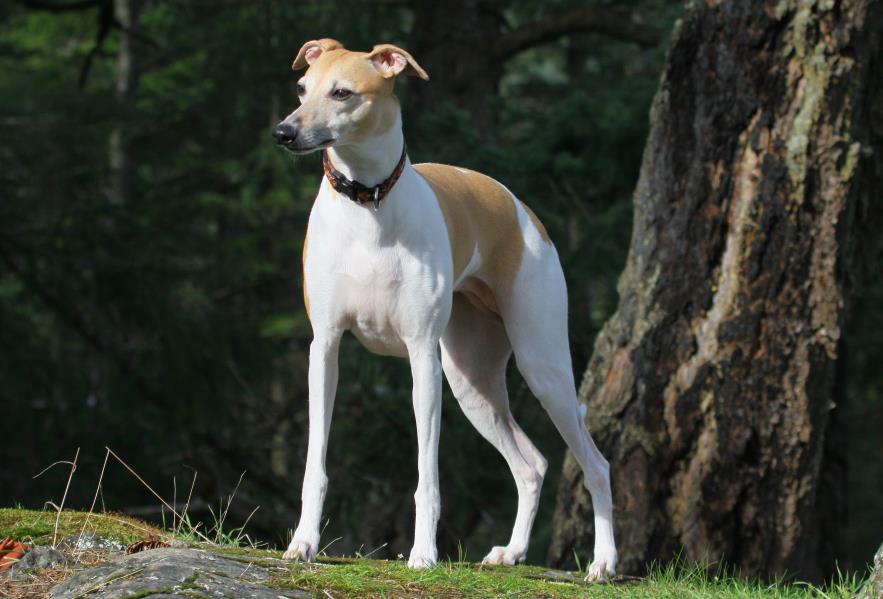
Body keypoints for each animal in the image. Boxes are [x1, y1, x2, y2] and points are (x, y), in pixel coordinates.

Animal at [272, 38, 618, 580]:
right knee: (532, 465)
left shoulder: (422, 359)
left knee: (595, 464)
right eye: (303, 89)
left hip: (542, 370)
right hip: (472, 383)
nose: (283, 133)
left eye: (343, 93)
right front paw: (303, 543)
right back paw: (512, 551)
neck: (368, 205)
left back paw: (603, 562)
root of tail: (518, 206)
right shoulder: (324, 348)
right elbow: (315, 466)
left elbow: (427, 478)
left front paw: (423, 554)